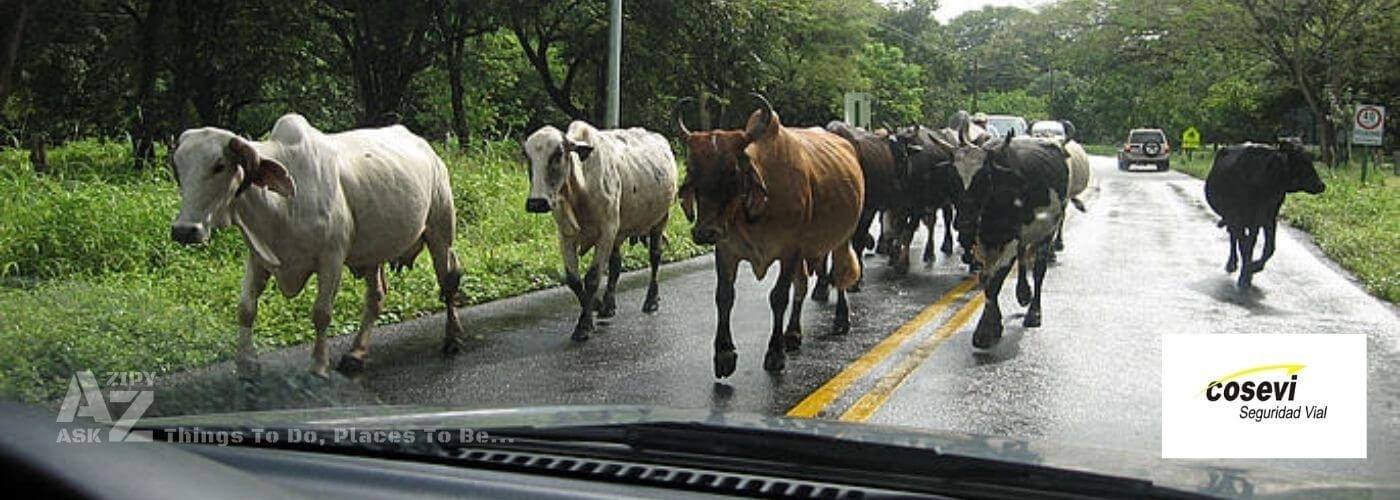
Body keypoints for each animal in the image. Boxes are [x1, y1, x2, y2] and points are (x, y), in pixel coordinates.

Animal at [169, 114, 464, 378]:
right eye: (179, 167)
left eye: (219, 165)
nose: (184, 230)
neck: (282, 206)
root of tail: (428, 150)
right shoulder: (258, 258)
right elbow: (246, 309)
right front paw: (245, 363)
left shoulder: (331, 258)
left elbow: (321, 313)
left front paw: (319, 365)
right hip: (373, 253)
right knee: (376, 297)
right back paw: (356, 353)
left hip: (440, 233)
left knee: (447, 282)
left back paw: (452, 339)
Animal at [526, 119, 677, 340]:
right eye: (526, 155)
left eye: (558, 154)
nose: (536, 203)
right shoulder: (566, 235)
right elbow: (573, 280)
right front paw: (596, 305)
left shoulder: (606, 232)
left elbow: (592, 278)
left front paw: (584, 325)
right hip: (619, 232)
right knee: (616, 264)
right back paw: (608, 304)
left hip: (660, 219)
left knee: (655, 257)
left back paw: (651, 300)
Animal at [677, 93, 862, 375]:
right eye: (693, 169)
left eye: (733, 172)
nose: (705, 232)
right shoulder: (727, 250)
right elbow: (725, 296)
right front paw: (724, 354)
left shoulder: (790, 250)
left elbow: (778, 297)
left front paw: (775, 353)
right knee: (802, 286)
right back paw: (793, 334)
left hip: (842, 237)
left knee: (840, 275)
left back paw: (841, 318)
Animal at [1204, 142, 1321, 285]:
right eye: (1302, 161)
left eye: (1309, 159)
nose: (1321, 185)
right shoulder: (1238, 217)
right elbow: (1246, 247)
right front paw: (1246, 276)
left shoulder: (1269, 217)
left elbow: (1269, 247)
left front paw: (1254, 267)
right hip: (1234, 219)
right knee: (1234, 238)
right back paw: (1231, 264)